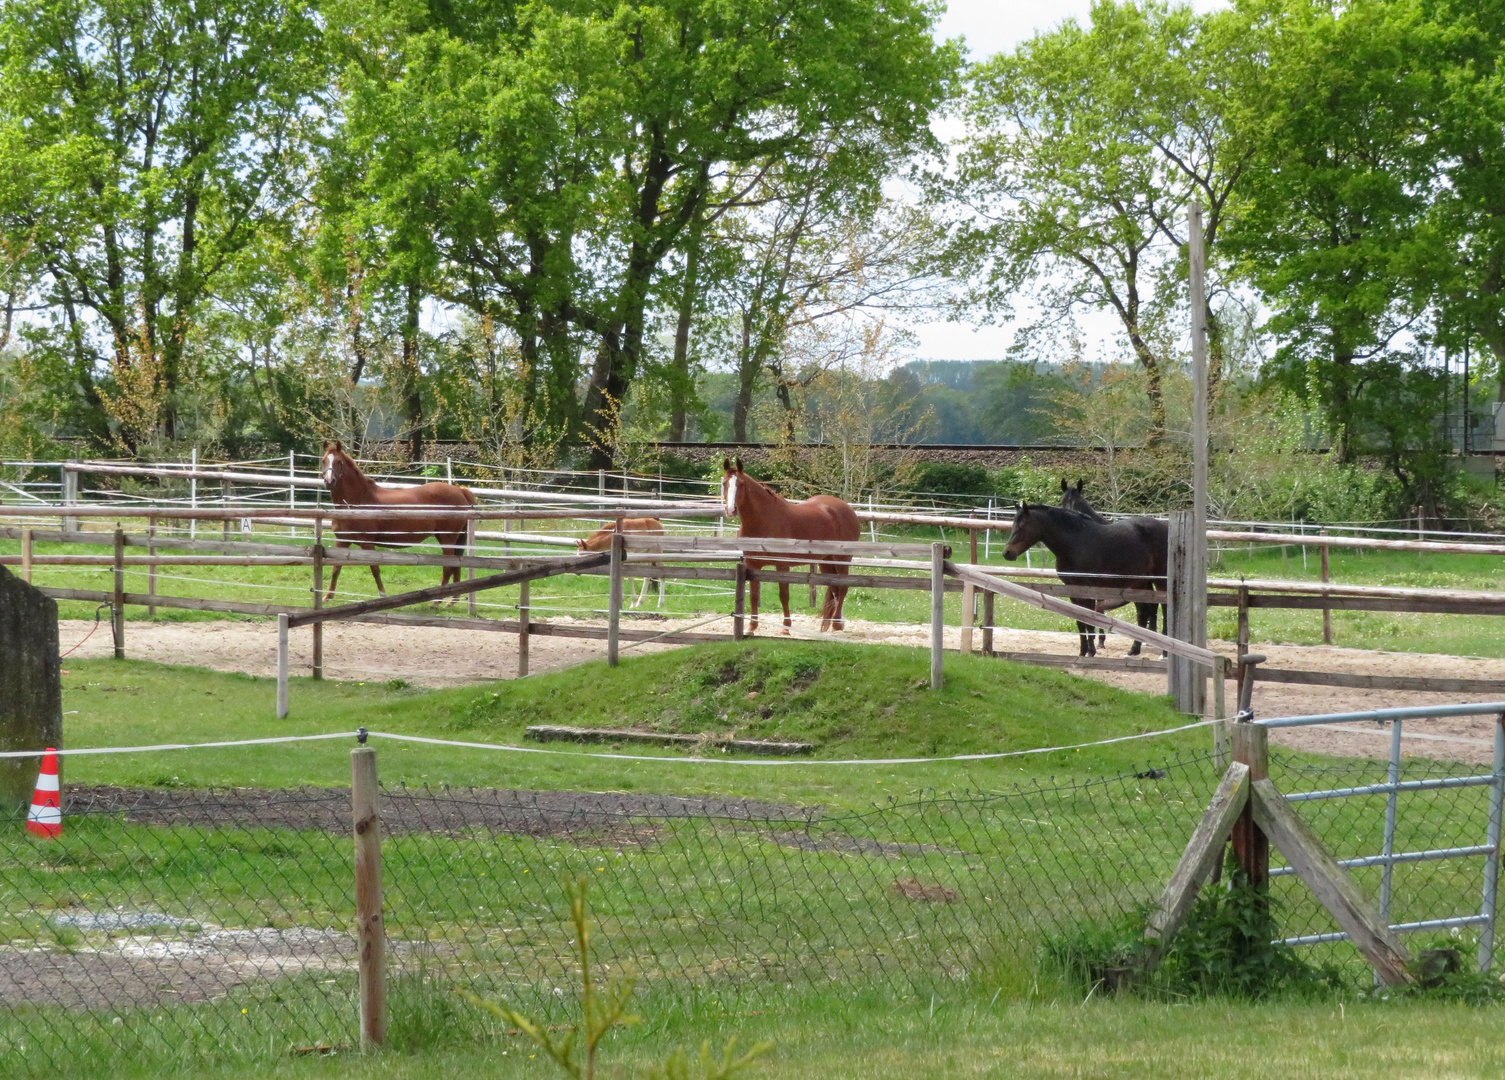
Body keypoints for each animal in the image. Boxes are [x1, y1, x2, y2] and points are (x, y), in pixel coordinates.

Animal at [320, 445, 472, 604]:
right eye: (323, 460)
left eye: (339, 462)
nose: (329, 481)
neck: (357, 501)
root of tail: (460, 490)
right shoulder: (342, 541)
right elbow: (336, 568)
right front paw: (327, 597)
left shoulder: (367, 542)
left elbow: (375, 569)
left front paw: (383, 595)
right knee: (456, 564)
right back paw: (452, 600)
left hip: (448, 538)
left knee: (448, 566)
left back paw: (437, 601)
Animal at [722, 457, 866, 634]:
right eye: (724, 483)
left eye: (741, 484)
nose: (731, 510)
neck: (764, 520)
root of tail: (848, 509)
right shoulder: (752, 564)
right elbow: (754, 596)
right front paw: (751, 627)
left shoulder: (782, 566)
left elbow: (784, 594)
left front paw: (785, 627)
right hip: (826, 562)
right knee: (834, 589)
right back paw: (827, 624)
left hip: (842, 560)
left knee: (843, 588)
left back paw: (837, 624)